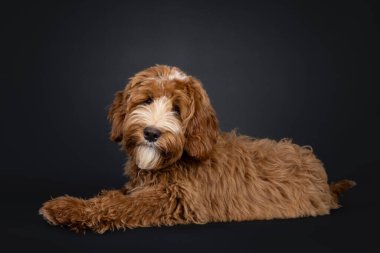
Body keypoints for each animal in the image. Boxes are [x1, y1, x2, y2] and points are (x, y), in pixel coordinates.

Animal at [39, 65, 356, 233]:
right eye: (146, 100)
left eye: (177, 110)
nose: (151, 133)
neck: (177, 160)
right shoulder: (142, 187)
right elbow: (115, 196)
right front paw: (71, 205)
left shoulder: (176, 200)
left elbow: (122, 205)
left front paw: (67, 209)